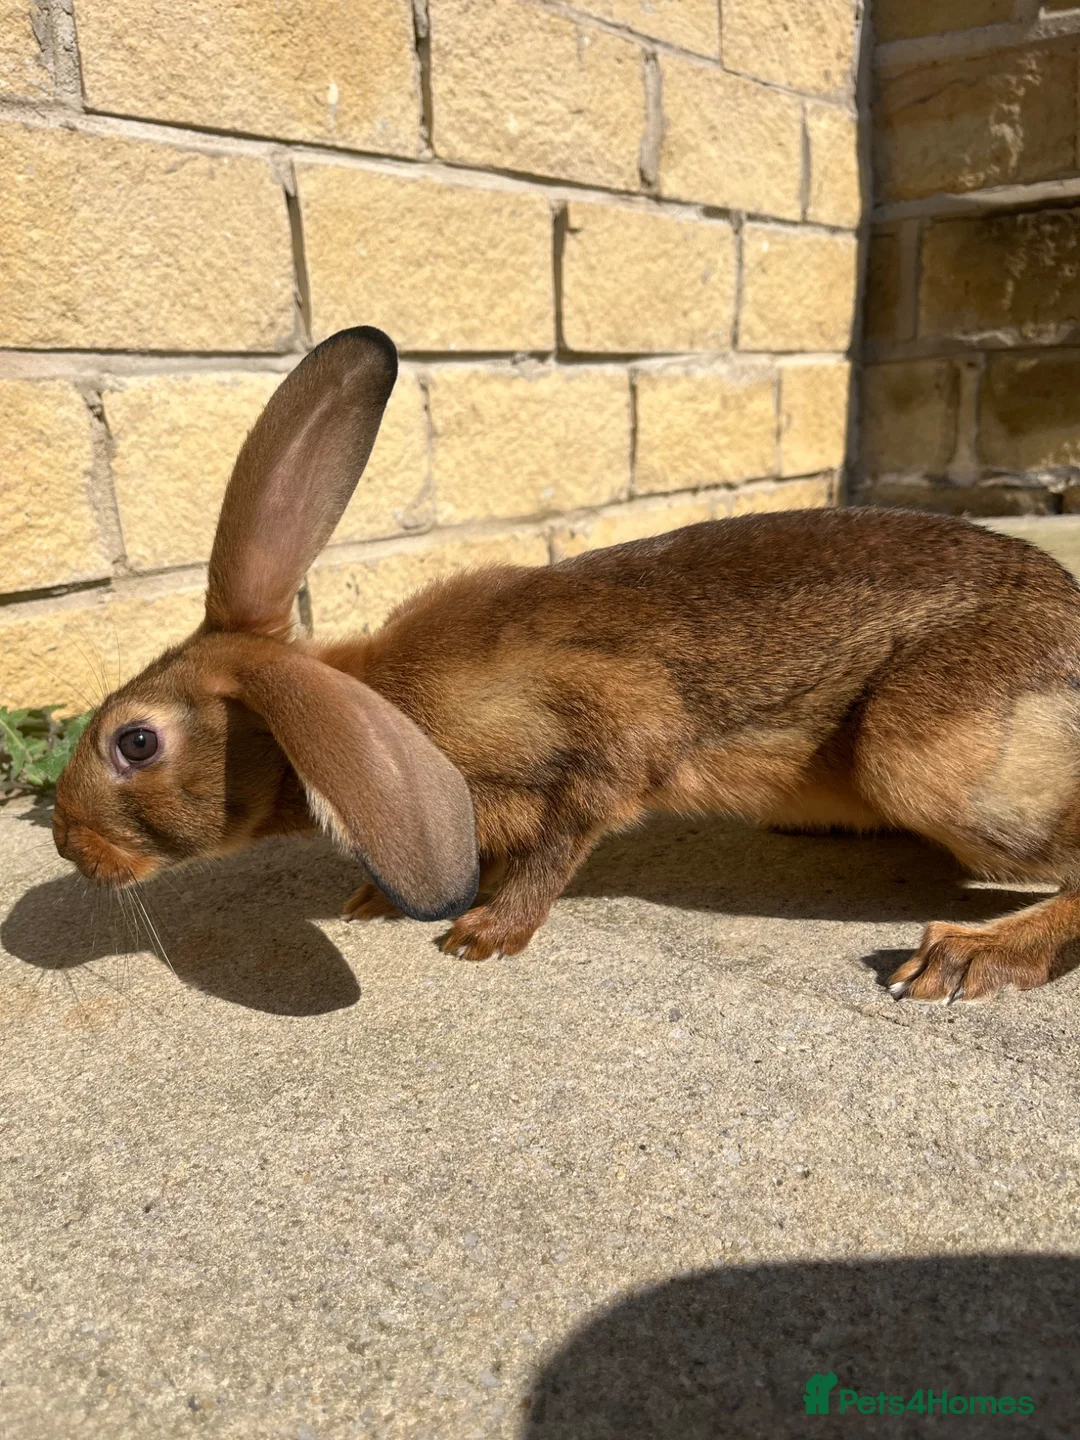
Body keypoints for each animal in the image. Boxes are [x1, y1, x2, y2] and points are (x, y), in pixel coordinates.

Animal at [51, 325, 1080, 1002]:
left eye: (136, 743)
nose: (66, 844)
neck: (379, 706)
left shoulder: (603, 737)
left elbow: (567, 834)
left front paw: (481, 936)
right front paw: (369, 900)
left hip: (930, 755)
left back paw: (962, 957)